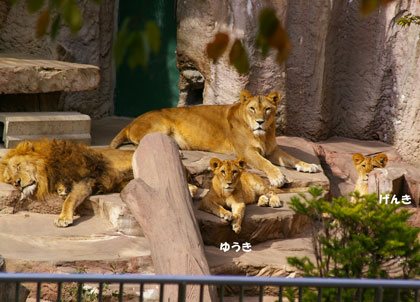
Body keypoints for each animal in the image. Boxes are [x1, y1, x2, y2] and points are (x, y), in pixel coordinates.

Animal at [0, 139, 133, 226]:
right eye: (10, 180)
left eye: (18, 166)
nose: (17, 183)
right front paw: (62, 189)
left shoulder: (85, 179)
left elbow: (70, 199)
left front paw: (63, 218)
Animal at [110, 88, 320, 186]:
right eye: (252, 109)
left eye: (267, 109)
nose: (260, 122)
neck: (264, 134)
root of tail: (131, 122)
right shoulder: (246, 152)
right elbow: (266, 163)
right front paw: (277, 177)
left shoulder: (273, 149)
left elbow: (292, 158)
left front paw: (309, 165)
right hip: (162, 124)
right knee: (142, 145)